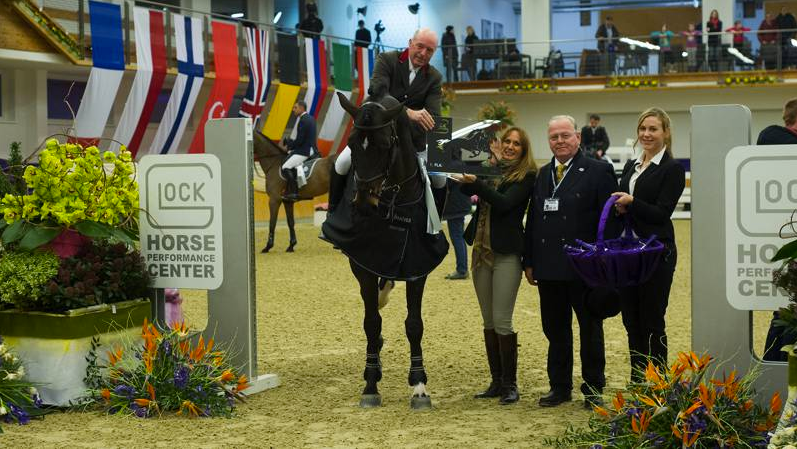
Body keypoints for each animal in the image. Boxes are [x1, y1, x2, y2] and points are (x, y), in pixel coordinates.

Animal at [322, 93, 448, 408]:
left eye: (385, 144)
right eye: (353, 142)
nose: (364, 204)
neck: (393, 202)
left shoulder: (417, 266)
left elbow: (414, 324)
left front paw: (419, 385)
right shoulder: (362, 262)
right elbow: (371, 322)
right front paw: (370, 384)